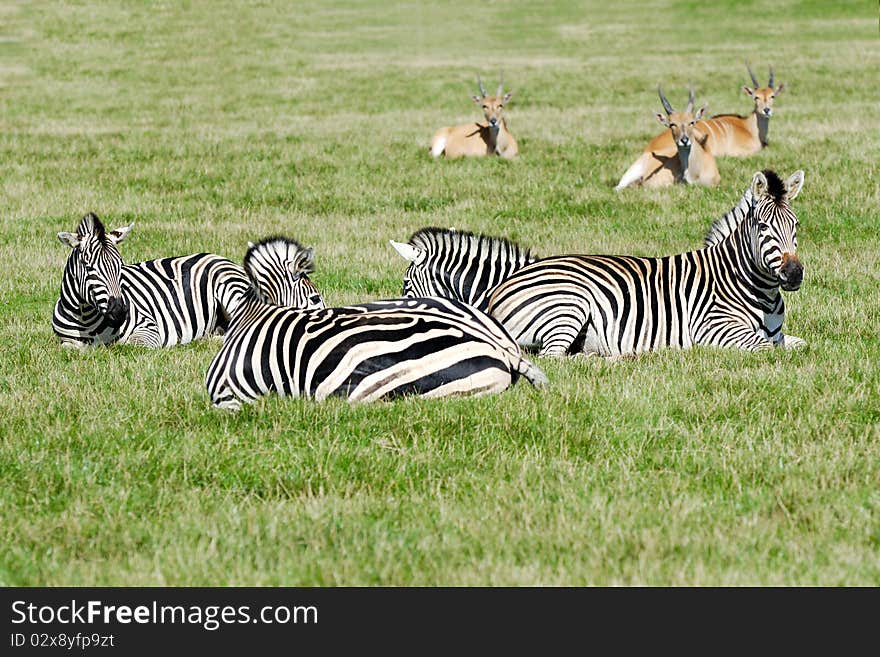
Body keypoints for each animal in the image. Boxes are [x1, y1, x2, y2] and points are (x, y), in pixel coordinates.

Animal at [54, 214, 254, 348]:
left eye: (120, 267)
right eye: (89, 268)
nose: (120, 311)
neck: (85, 319)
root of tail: (219, 257)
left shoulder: (148, 327)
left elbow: (124, 345)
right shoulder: (65, 342)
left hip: (231, 289)